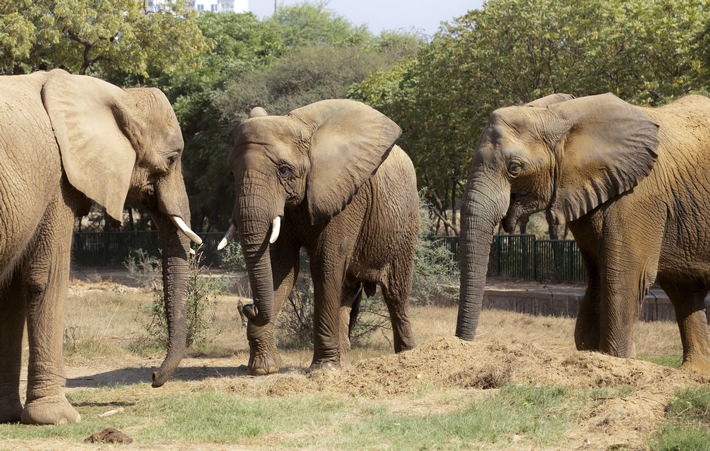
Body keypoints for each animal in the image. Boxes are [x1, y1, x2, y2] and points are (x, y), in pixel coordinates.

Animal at [0, 69, 202, 426]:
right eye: (172, 159)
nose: (152, 377)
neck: (117, 95)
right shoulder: (57, 181)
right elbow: (43, 278)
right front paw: (59, 418)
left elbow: (11, 293)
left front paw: (9, 415)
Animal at [220, 100, 420, 376]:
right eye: (231, 173)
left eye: (284, 170)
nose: (249, 307)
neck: (302, 130)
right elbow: (282, 267)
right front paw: (263, 369)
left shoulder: (345, 196)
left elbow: (324, 264)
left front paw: (322, 370)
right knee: (347, 291)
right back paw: (345, 362)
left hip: (405, 220)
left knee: (396, 292)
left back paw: (407, 356)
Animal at [456, 91, 710, 374]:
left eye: (514, 168)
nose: (464, 344)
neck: (559, 117)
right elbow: (598, 278)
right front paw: (594, 354)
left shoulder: (638, 196)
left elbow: (626, 276)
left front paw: (618, 361)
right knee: (684, 291)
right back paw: (694, 373)